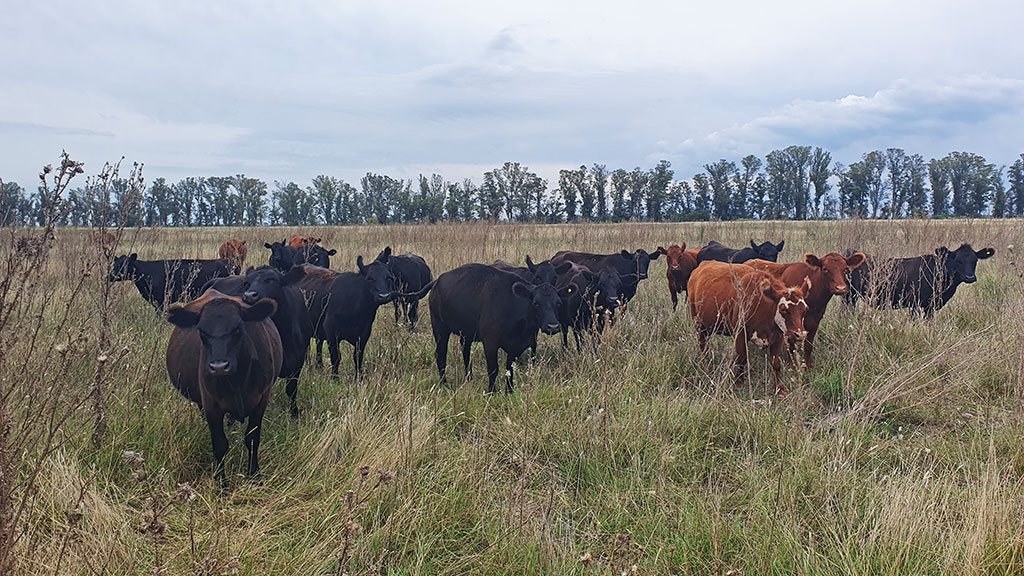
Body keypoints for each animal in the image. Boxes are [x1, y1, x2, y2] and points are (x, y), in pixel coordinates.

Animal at [199, 264, 309, 416]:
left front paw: (294, 414)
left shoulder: (299, 360)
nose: (249, 296)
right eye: (247, 283)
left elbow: (291, 389)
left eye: (272, 280)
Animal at [428, 262, 565, 391]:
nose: (552, 326)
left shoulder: (516, 347)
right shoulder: (490, 343)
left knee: (465, 352)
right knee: (441, 355)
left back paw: (469, 378)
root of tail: (438, 281)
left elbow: (510, 370)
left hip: (466, 333)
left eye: (558, 303)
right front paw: (491, 391)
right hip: (440, 329)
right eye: (536, 303)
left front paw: (509, 391)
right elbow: (493, 369)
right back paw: (444, 384)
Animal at [688, 261, 806, 391]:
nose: (800, 335)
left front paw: (780, 389)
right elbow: (742, 358)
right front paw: (738, 383)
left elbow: (776, 362)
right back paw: (709, 370)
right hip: (699, 325)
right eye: (784, 310)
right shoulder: (740, 333)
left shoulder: (778, 335)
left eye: (805, 310)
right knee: (704, 349)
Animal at [843, 239, 995, 315]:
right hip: (850, 296)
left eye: (975, 260)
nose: (970, 277)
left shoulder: (930, 306)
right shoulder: (915, 304)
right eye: (957, 260)